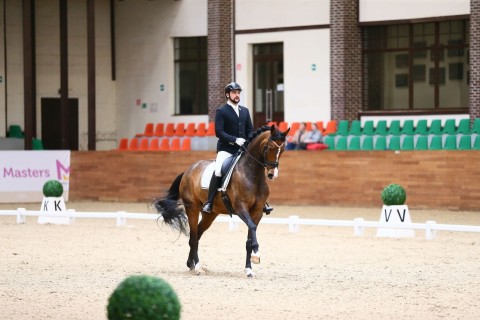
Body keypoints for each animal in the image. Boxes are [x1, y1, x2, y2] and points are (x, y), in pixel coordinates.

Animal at [152, 124, 290, 276]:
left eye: (282, 149)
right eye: (269, 147)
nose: (272, 174)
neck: (253, 174)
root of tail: (188, 170)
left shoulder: (257, 211)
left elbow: (249, 237)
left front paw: (249, 269)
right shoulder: (240, 208)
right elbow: (252, 228)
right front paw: (256, 256)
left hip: (210, 214)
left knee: (197, 234)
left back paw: (191, 264)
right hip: (192, 208)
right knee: (193, 237)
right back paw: (198, 267)